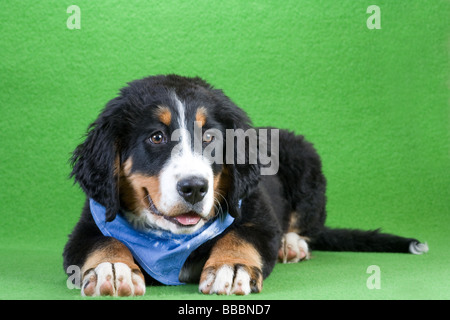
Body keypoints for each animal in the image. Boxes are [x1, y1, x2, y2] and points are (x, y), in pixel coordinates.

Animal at [61, 74, 428, 296]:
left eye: (210, 137)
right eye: (156, 137)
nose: (195, 188)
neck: (169, 242)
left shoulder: (256, 212)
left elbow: (240, 236)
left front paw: (231, 267)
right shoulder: (88, 225)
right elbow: (103, 242)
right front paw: (113, 268)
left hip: (304, 160)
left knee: (305, 226)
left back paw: (292, 244)